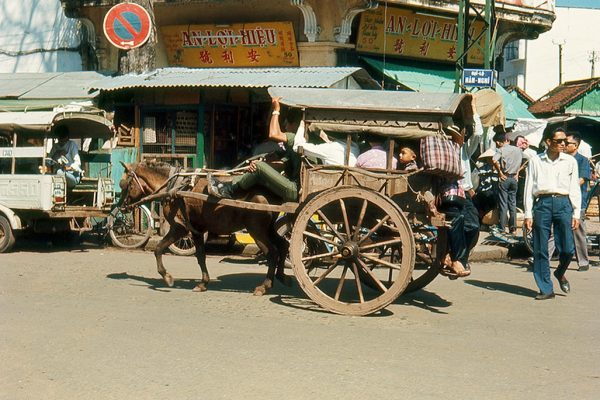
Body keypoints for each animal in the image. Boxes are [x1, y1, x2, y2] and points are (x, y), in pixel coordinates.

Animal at [116, 161, 290, 296]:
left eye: (123, 184)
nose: (120, 207)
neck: (173, 186)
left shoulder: (180, 228)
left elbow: (158, 248)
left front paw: (167, 277)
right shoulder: (197, 229)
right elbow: (200, 256)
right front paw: (203, 283)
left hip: (256, 230)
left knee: (272, 253)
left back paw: (264, 286)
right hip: (267, 228)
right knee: (283, 245)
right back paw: (281, 276)